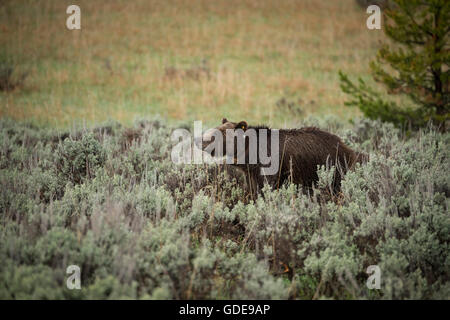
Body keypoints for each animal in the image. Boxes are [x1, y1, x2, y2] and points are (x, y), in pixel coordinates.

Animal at [199, 117, 368, 198]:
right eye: (216, 128)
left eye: (220, 132)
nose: (200, 140)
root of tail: (348, 148)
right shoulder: (251, 174)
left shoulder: (272, 171)